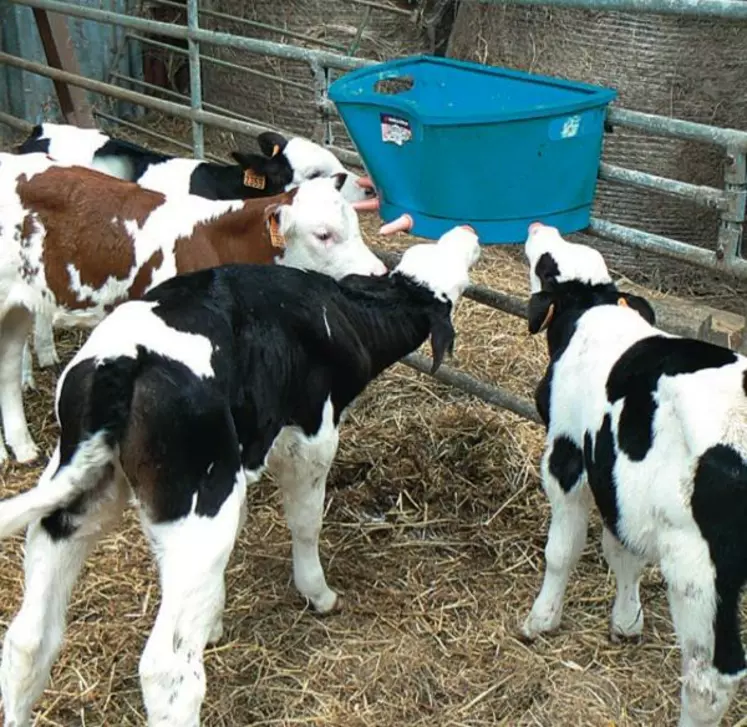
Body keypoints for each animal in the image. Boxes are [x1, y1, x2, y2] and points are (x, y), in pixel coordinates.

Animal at [0, 152, 386, 466]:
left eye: (355, 226)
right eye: (323, 234)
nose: (378, 274)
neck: (216, 241)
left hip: (17, 306)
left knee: (7, 366)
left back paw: (23, 448)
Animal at [0, 225, 480, 727]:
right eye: (458, 274)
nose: (467, 230)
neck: (340, 316)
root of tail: (121, 364)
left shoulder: (245, 457)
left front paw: (212, 618)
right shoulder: (311, 437)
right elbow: (306, 523)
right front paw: (318, 593)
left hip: (82, 499)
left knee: (29, 639)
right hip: (201, 509)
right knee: (168, 672)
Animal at [520, 222, 747, 727]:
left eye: (546, 264)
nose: (538, 225)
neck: (591, 312)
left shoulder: (567, 456)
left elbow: (562, 550)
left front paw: (542, 618)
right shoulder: (620, 480)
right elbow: (623, 551)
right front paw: (626, 621)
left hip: (700, 571)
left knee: (711, 678)